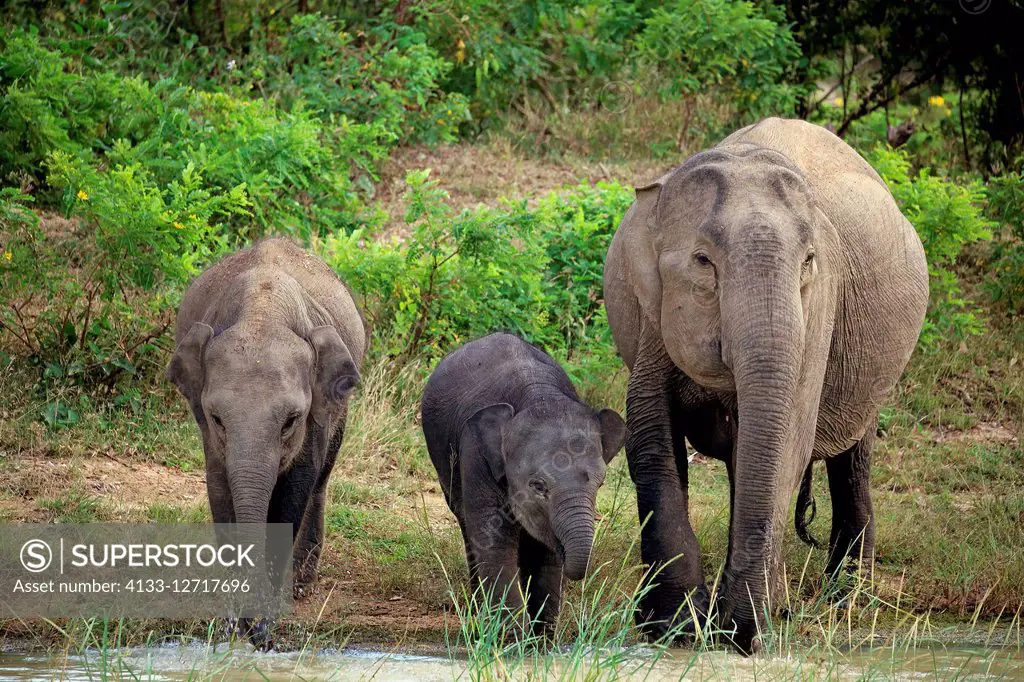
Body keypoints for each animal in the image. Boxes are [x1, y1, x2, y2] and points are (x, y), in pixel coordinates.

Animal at [164, 236, 364, 638]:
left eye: (290, 421)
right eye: (217, 419)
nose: (249, 627)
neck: (262, 311)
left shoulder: (316, 409)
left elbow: (297, 486)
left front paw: (263, 623)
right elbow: (219, 486)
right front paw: (235, 620)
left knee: (321, 478)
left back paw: (301, 584)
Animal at [419, 331, 626, 630]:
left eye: (600, 484)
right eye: (538, 486)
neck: (538, 396)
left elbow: (545, 553)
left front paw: (542, 639)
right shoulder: (475, 452)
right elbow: (494, 542)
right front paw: (512, 638)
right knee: (468, 528)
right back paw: (478, 612)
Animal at [602, 118, 933, 655]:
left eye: (809, 261)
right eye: (703, 261)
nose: (741, 635)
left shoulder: (820, 306)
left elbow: (789, 444)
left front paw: (750, 624)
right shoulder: (655, 312)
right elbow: (650, 433)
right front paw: (675, 628)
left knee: (851, 455)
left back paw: (845, 597)